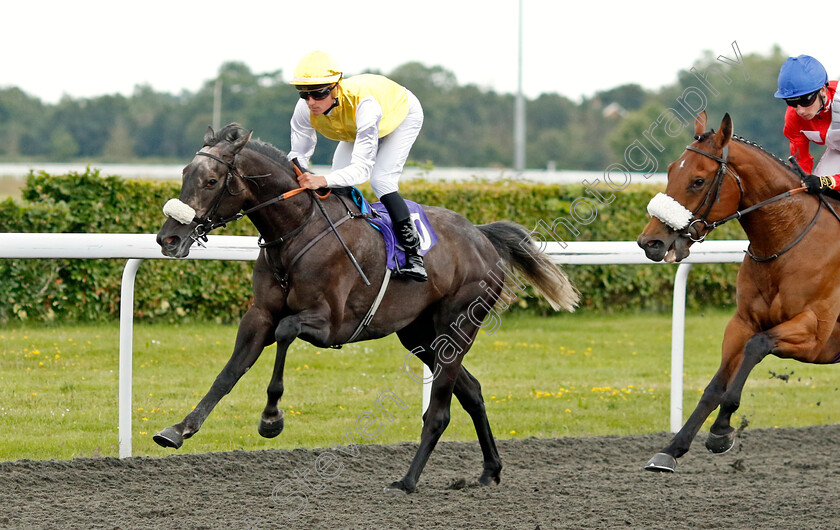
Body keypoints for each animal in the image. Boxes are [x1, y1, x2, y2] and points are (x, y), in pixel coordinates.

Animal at [154, 122, 580, 490]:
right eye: (184, 173)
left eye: (211, 181)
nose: (167, 238)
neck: (297, 232)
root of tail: (481, 235)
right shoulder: (259, 315)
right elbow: (229, 372)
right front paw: (178, 429)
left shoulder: (330, 324)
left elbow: (285, 331)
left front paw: (271, 418)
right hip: (420, 335)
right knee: (472, 391)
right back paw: (490, 470)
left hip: (457, 324)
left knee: (439, 411)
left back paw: (408, 481)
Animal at [636, 111, 840, 470]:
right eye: (672, 169)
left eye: (698, 180)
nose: (651, 242)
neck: (786, 243)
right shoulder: (742, 322)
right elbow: (715, 385)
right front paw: (672, 448)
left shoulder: (816, 334)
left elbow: (757, 346)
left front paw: (721, 430)